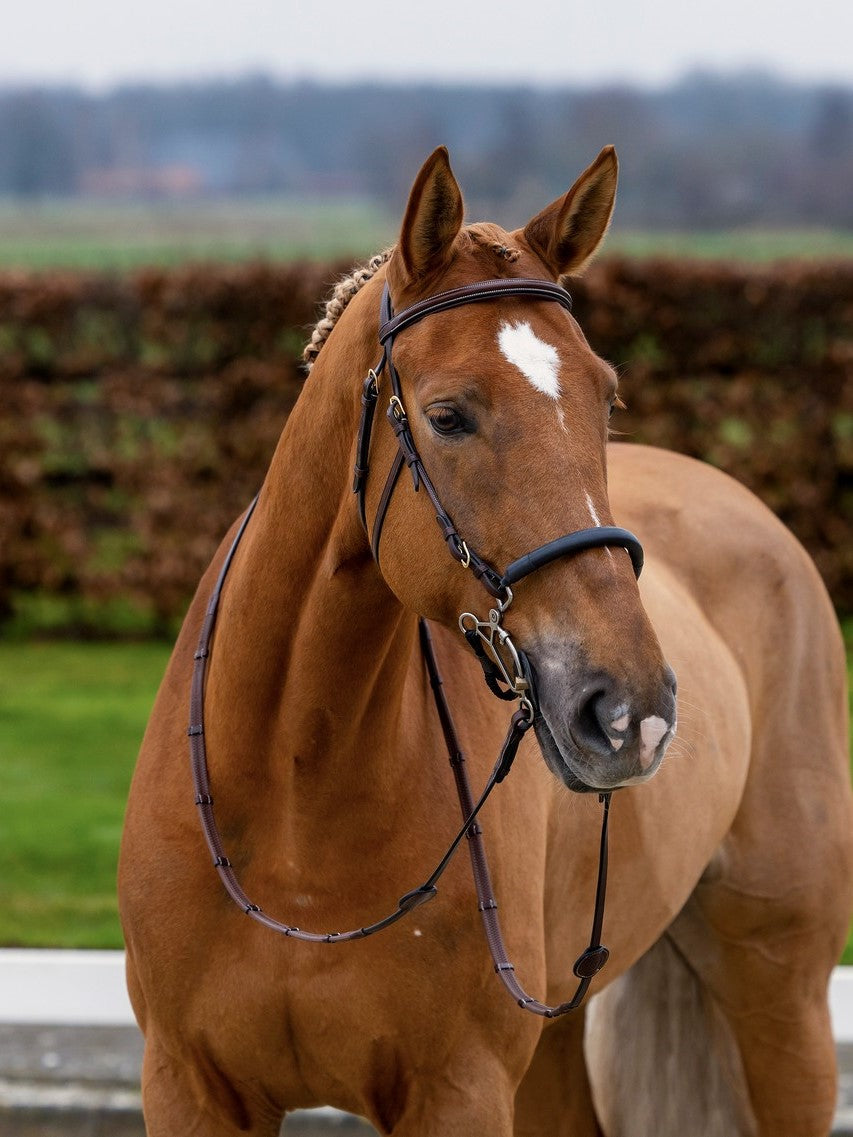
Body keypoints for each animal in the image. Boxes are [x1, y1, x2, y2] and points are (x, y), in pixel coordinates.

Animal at [118, 145, 853, 1136]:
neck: (293, 795)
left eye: (604, 397)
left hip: (782, 998)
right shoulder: (189, 1087)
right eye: (448, 415)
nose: (628, 710)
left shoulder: (457, 1091)